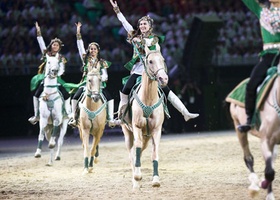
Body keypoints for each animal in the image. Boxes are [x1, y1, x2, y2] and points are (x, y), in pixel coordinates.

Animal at [120, 43, 168, 189]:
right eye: (150, 61)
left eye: (163, 60)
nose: (163, 79)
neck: (148, 99)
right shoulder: (136, 127)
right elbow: (137, 147)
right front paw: (137, 176)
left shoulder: (156, 130)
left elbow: (155, 152)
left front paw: (156, 179)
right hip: (127, 133)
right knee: (132, 152)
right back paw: (135, 181)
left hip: (147, 136)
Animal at [226, 65, 280, 199]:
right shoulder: (266, 140)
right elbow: (269, 171)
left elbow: (270, 168)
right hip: (239, 129)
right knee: (248, 158)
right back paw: (255, 185)